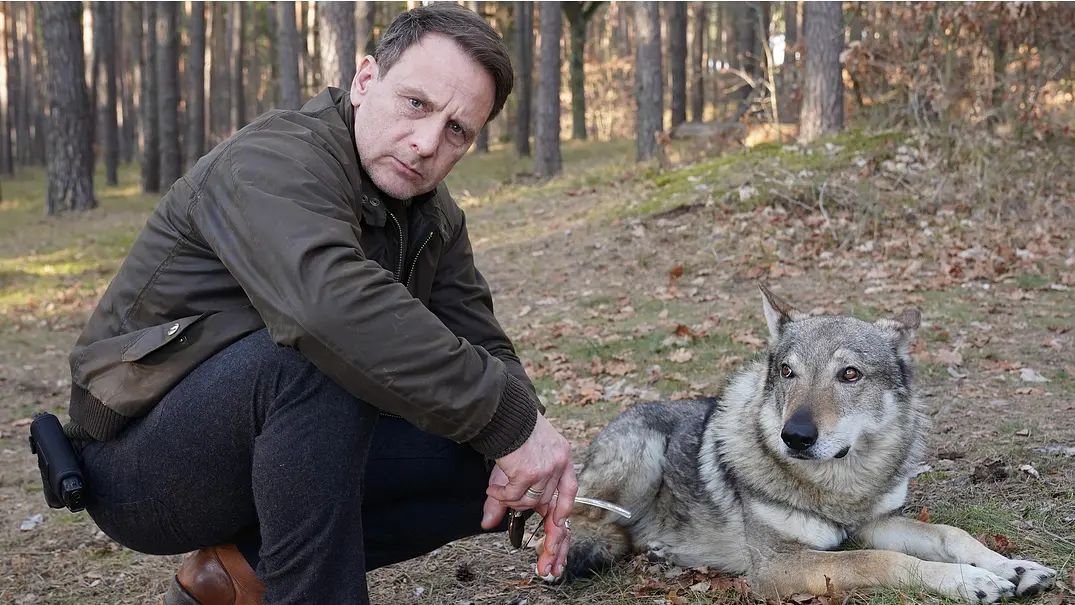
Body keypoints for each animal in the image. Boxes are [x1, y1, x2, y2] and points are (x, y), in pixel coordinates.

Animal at [558, 285, 1056, 603]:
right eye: (787, 372)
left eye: (850, 374)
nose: (795, 436)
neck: (839, 485)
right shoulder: (778, 566)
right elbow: (878, 561)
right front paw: (967, 581)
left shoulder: (869, 523)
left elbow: (949, 533)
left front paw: (1013, 567)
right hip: (640, 456)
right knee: (580, 524)